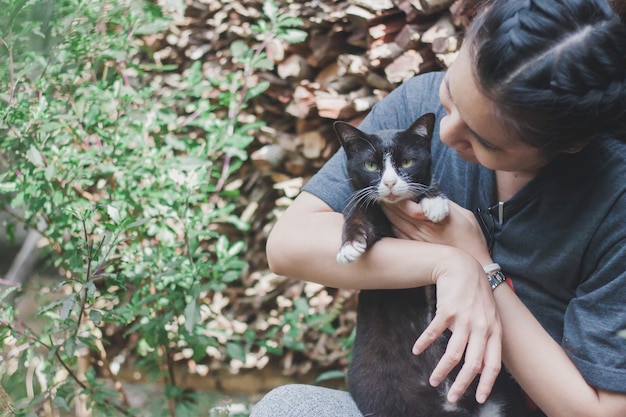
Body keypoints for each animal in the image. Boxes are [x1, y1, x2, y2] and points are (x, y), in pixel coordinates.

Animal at [334, 112, 524, 414]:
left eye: (407, 162)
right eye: (371, 165)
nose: (390, 183)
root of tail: (447, 400)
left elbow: (428, 188)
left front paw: (434, 202)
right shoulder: (370, 209)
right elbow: (356, 211)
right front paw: (350, 245)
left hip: (497, 395)